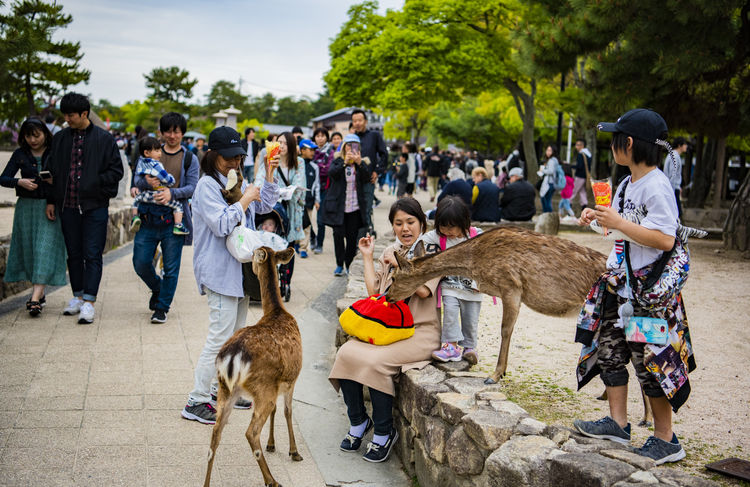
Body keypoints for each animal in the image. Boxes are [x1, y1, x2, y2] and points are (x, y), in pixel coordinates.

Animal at [204, 248, 304, 487]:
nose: (249, 265)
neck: (277, 311)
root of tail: (232, 356)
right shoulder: (292, 379)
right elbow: (287, 411)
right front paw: (294, 452)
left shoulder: (277, 385)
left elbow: (279, 411)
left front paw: (272, 444)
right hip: (262, 388)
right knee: (251, 432)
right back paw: (272, 480)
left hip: (227, 388)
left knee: (215, 433)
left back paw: (206, 483)